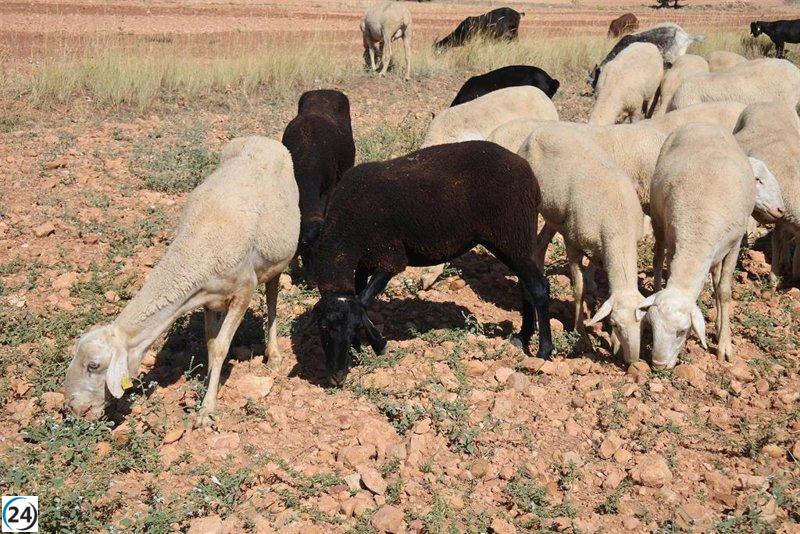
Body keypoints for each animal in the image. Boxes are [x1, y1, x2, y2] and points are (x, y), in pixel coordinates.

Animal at [64, 137, 300, 427]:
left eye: (93, 365)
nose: (73, 409)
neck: (196, 248)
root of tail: (262, 138)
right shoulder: (208, 298)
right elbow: (210, 343)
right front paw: (210, 383)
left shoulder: (244, 289)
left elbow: (221, 347)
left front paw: (207, 410)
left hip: (277, 261)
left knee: (272, 301)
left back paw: (274, 354)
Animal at [312, 141, 553, 384]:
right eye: (322, 327)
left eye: (352, 328)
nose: (336, 377)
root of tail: (524, 167)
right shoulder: (365, 262)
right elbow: (361, 301)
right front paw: (362, 349)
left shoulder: (390, 257)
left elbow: (362, 302)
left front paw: (377, 345)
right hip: (515, 238)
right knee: (526, 286)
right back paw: (523, 336)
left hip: (511, 233)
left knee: (538, 287)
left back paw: (543, 351)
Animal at [518, 123, 648, 364]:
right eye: (616, 324)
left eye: (643, 324)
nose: (632, 360)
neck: (619, 225)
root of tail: (540, 129)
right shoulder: (573, 243)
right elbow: (579, 289)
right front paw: (581, 334)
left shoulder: (601, 250)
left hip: (556, 216)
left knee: (539, 247)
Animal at [642, 124, 756, 367]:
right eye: (652, 327)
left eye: (682, 332)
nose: (658, 365)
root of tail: (702, 124)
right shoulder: (675, 240)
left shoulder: (735, 243)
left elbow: (724, 291)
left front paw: (724, 344)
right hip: (658, 219)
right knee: (657, 259)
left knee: (716, 278)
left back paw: (720, 322)